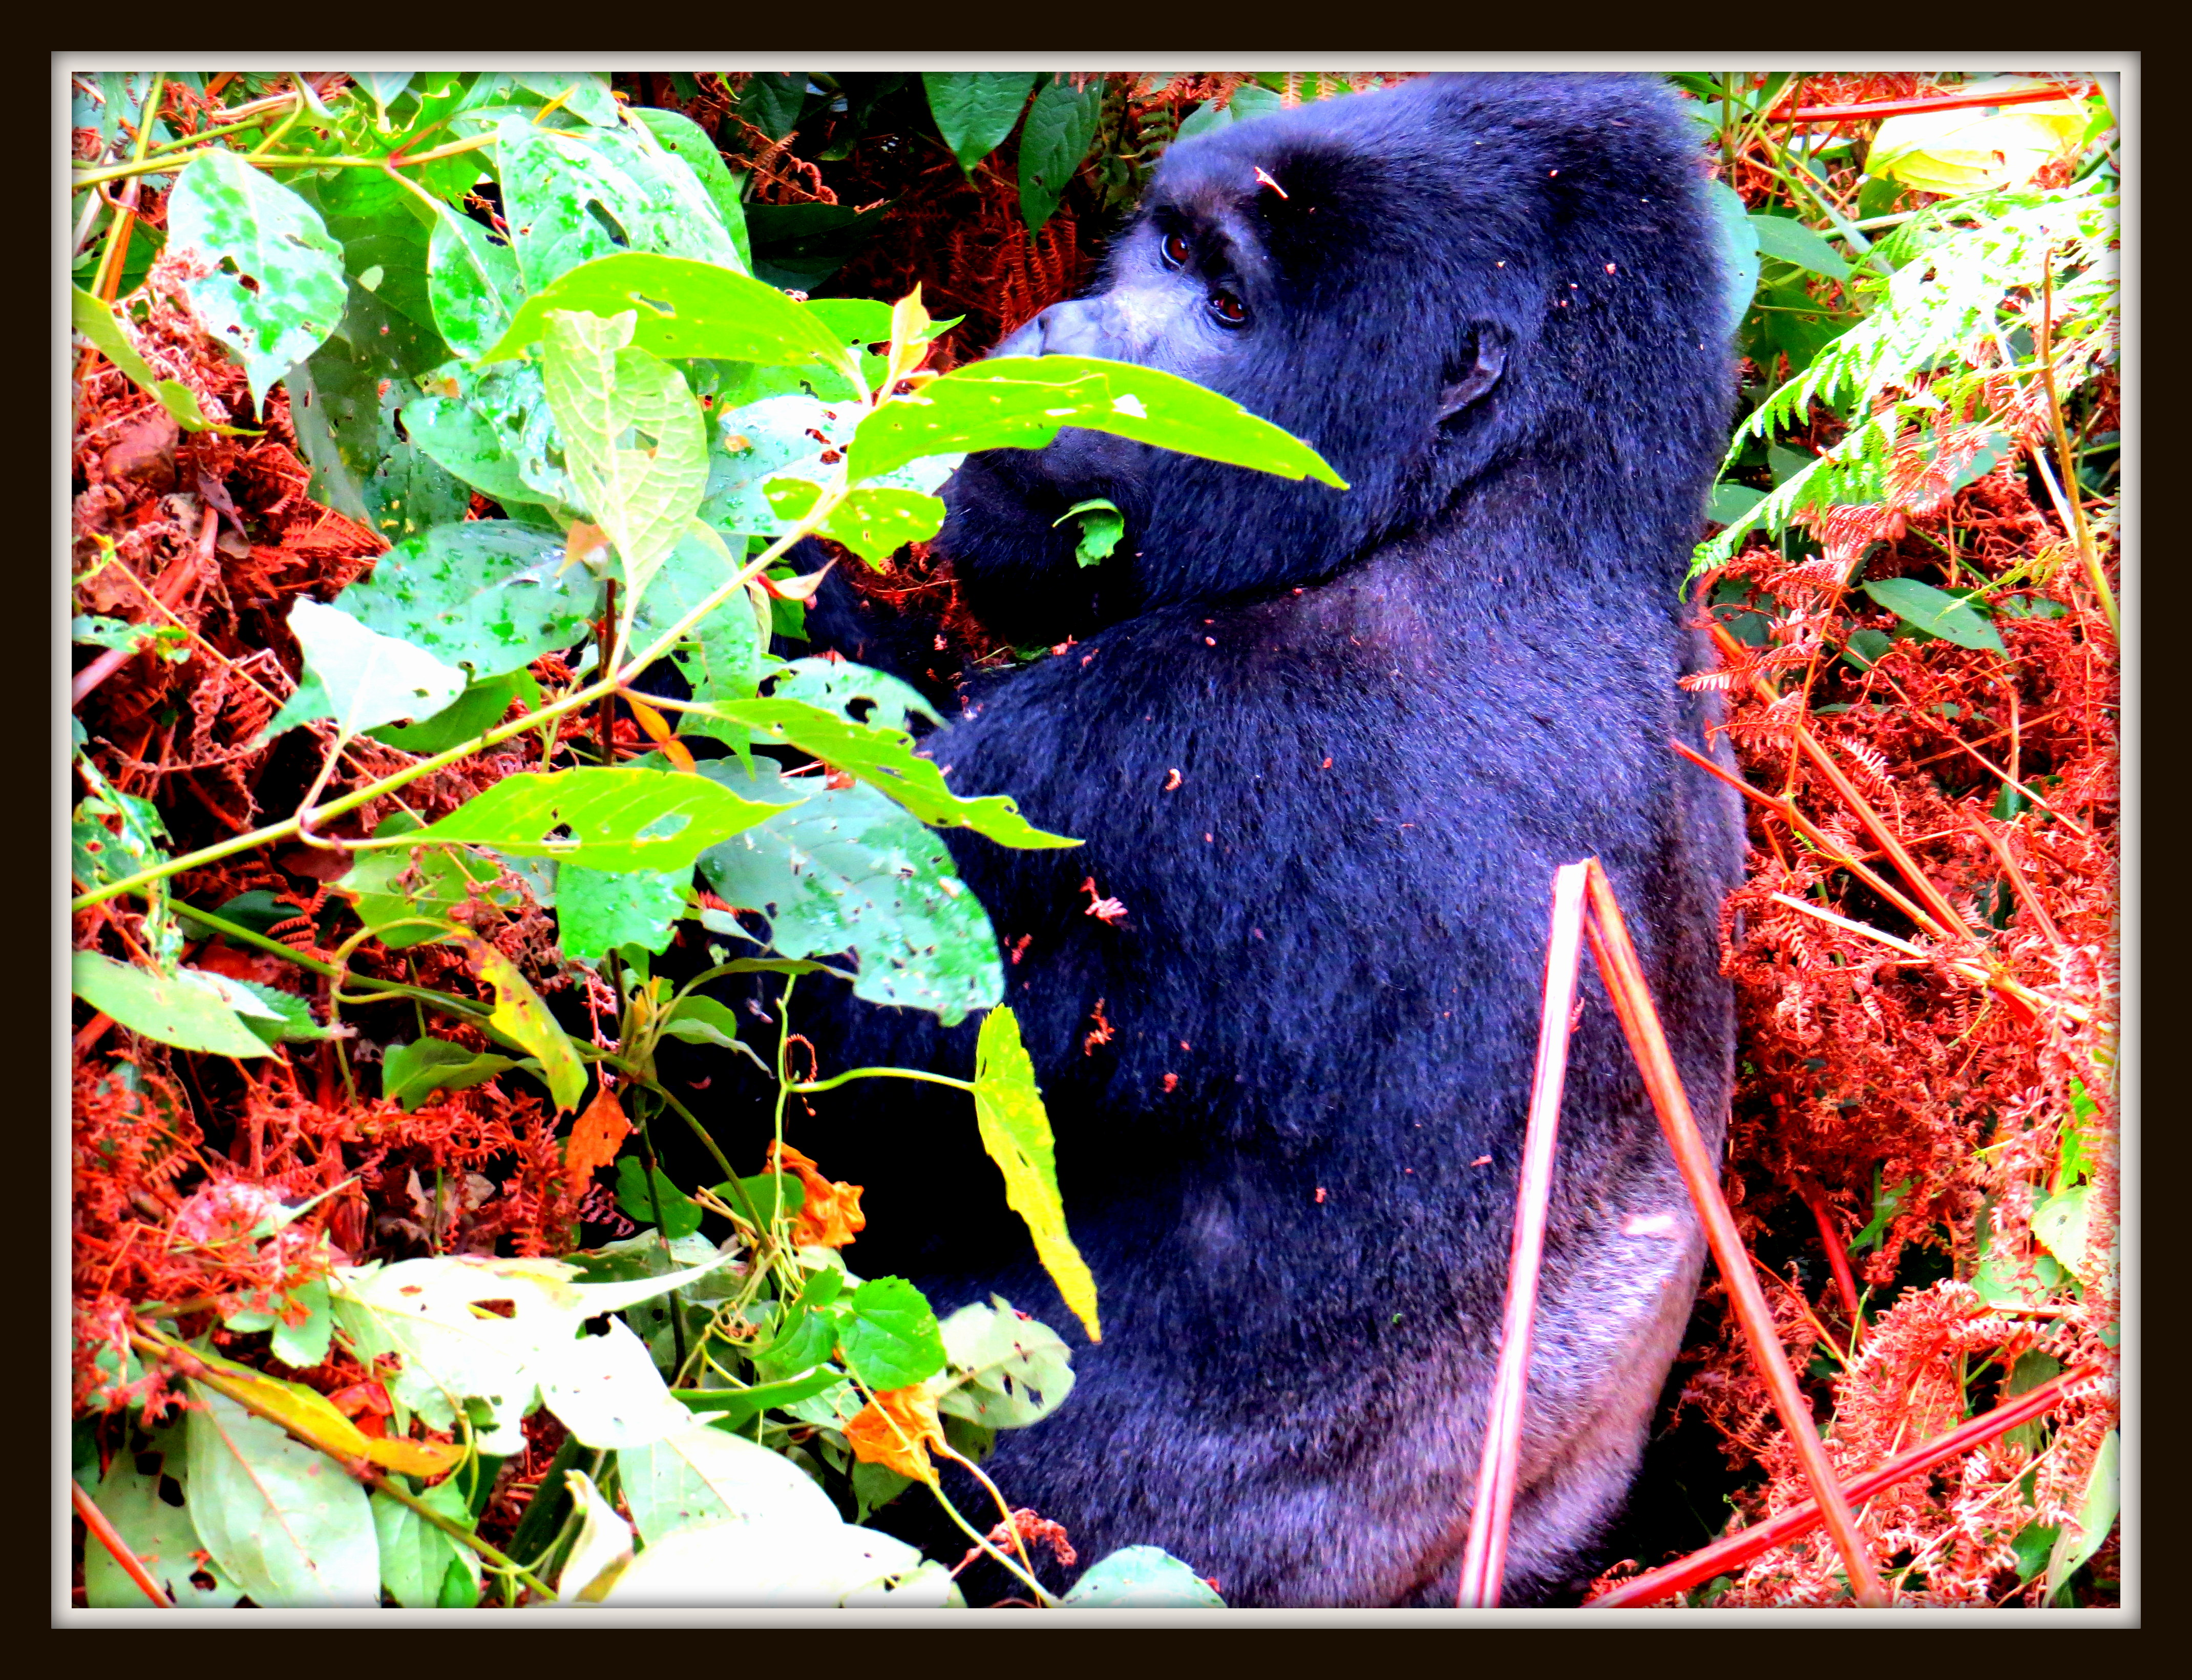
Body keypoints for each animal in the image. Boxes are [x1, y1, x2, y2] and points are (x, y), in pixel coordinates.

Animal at [780, 72, 1736, 1614]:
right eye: (1167, 248)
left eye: (1228, 307)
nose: (1062, 339)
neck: (1512, 510)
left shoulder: (1173, 756)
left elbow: (784, 1022)